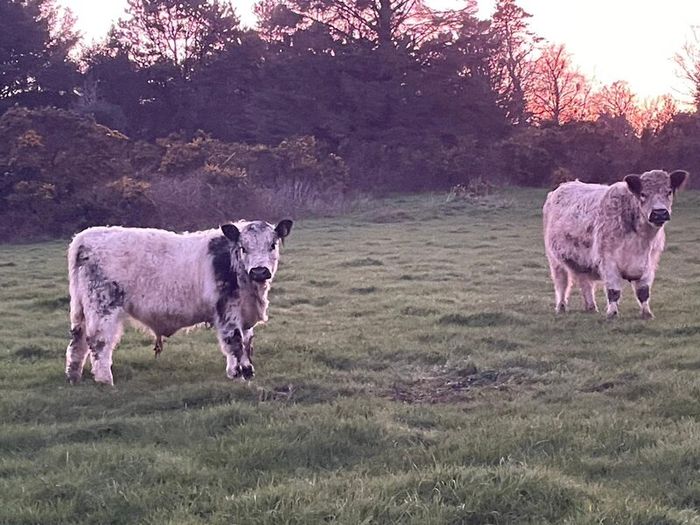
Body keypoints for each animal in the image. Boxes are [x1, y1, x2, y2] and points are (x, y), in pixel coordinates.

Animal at [64, 219, 293, 385]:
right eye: (243, 248)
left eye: (272, 245)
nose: (260, 271)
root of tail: (85, 237)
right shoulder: (227, 310)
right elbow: (235, 342)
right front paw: (240, 373)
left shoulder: (244, 314)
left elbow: (246, 342)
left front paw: (242, 372)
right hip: (102, 306)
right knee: (99, 341)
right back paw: (105, 380)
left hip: (81, 309)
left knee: (78, 341)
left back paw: (74, 377)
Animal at [543, 169, 687, 319]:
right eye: (643, 194)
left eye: (669, 191)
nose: (659, 213)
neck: (641, 240)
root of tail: (564, 185)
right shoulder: (608, 262)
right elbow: (613, 291)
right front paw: (612, 313)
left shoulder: (649, 263)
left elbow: (643, 292)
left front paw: (647, 313)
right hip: (555, 260)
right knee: (561, 283)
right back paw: (561, 307)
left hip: (582, 262)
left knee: (585, 283)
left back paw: (591, 307)